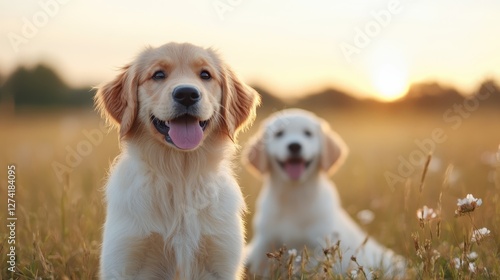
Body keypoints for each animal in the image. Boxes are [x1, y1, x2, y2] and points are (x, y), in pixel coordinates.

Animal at [95, 42, 260, 278]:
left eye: (205, 75)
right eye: (158, 74)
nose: (187, 94)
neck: (180, 176)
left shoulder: (221, 259)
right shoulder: (125, 258)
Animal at [244, 109, 404, 278]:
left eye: (308, 133)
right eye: (279, 134)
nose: (294, 146)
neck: (295, 195)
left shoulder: (318, 247)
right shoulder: (265, 242)